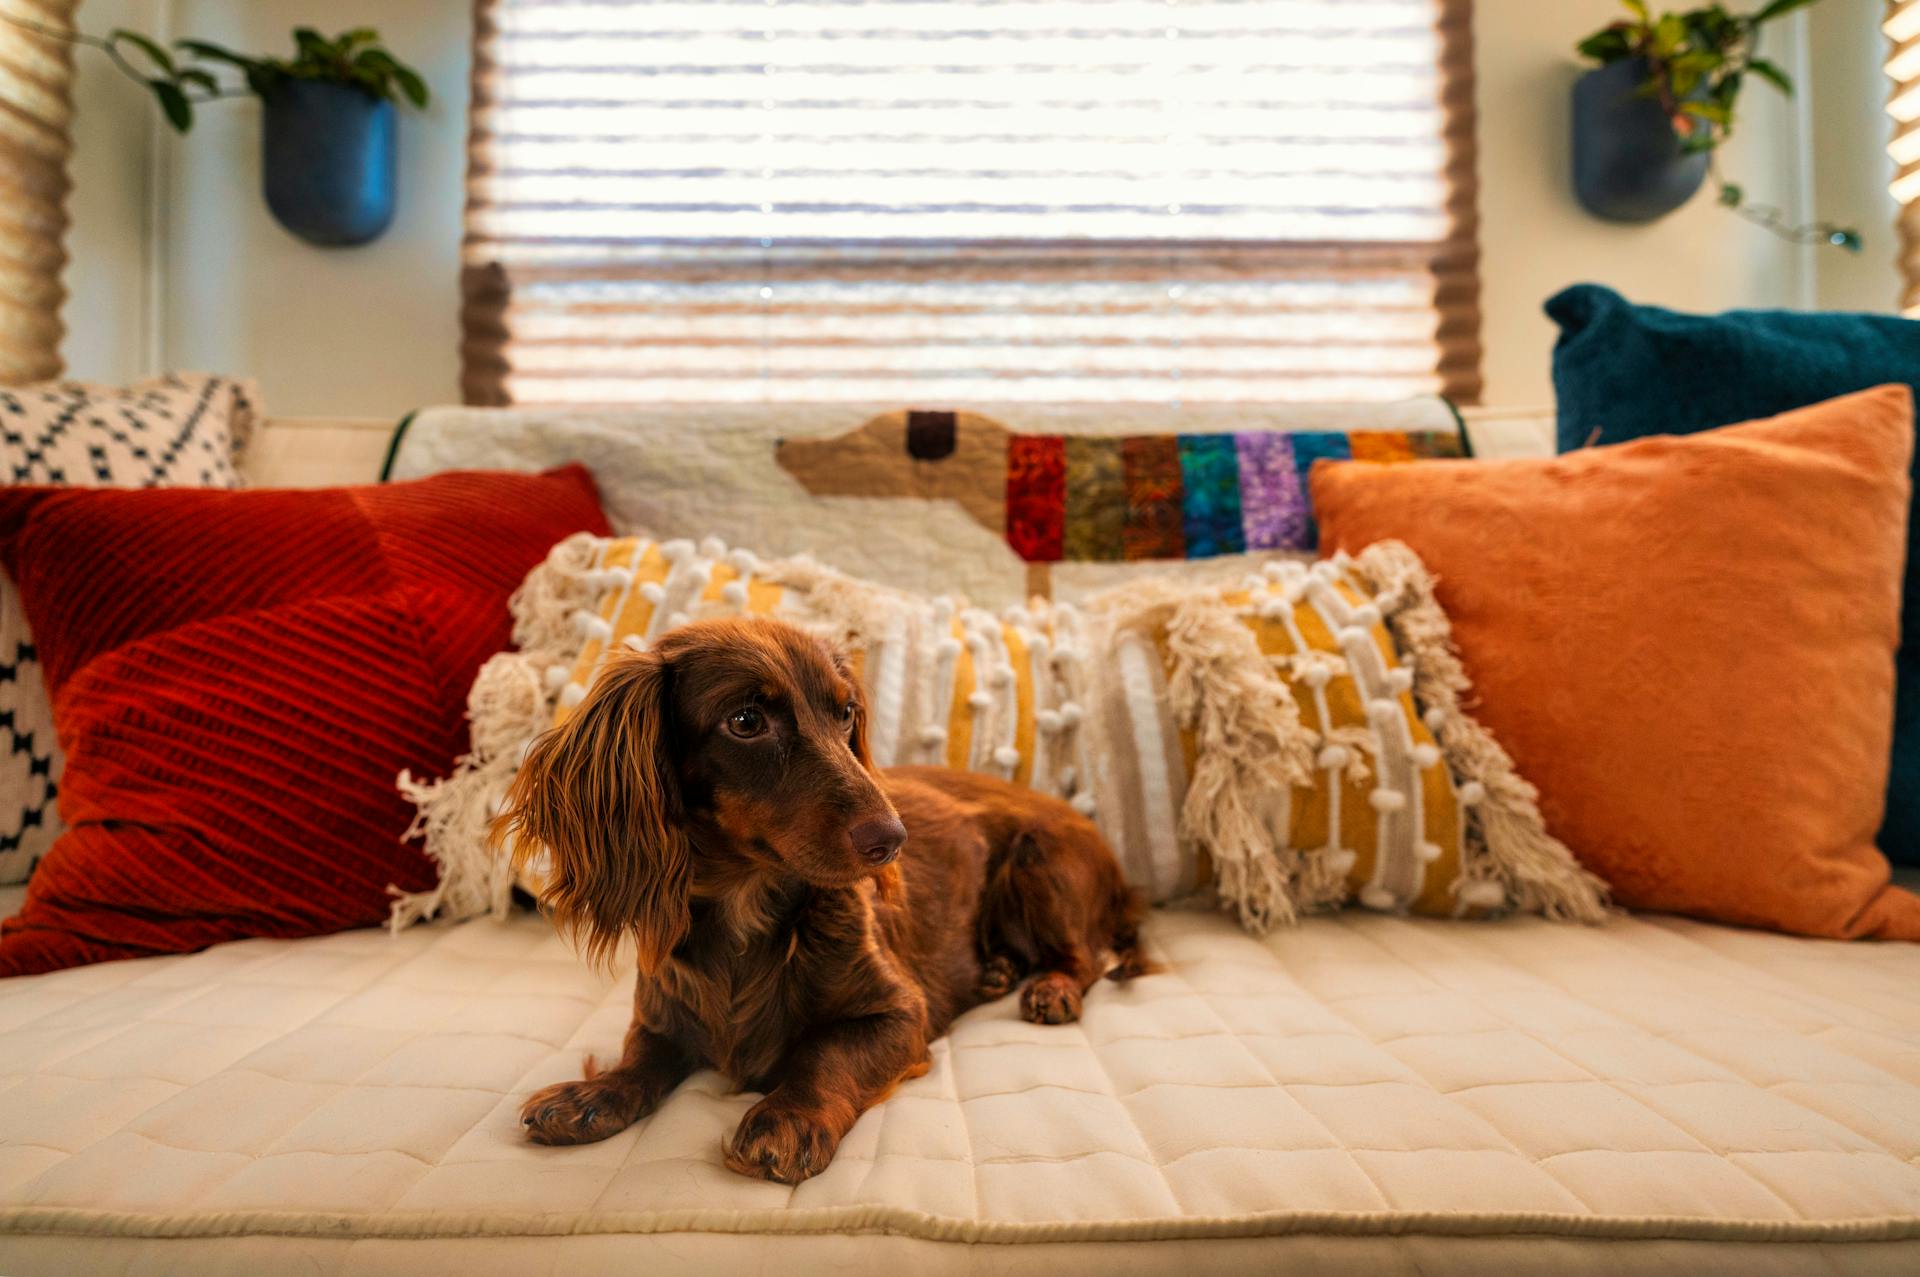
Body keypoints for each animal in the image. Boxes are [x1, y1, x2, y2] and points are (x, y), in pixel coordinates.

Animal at [495, 614, 1144, 1182]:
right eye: (746, 720)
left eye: (846, 712)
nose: (893, 840)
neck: (744, 907)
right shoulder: (661, 1014)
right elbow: (640, 1057)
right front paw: (593, 1094)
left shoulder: (899, 1013)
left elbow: (824, 1052)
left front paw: (789, 1117)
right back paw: (998, 972)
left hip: (1039, 859)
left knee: (1086, 958)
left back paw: (1050, 988)